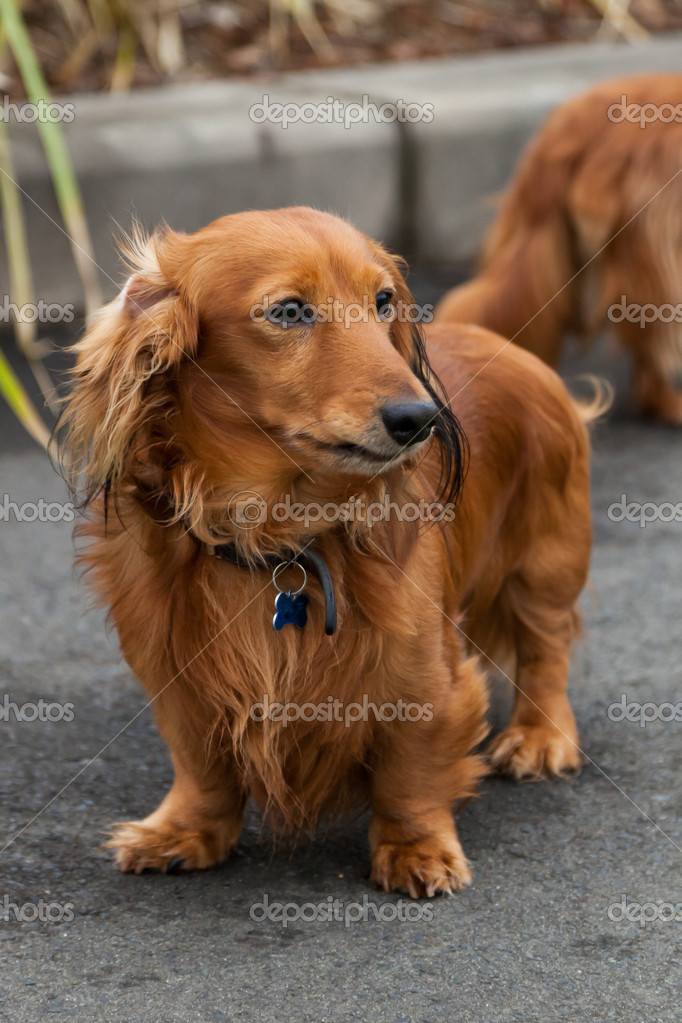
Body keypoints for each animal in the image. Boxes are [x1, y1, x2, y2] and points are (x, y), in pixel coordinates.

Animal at [61, 205, 601, 896]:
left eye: (382, 301)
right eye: (290, 311)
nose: (420, 419)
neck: (278, 536)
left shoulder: (421, 673)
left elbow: (411, 771)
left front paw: (416, 849)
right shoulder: (175, 671)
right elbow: (201, 766)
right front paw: (184, 831)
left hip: (546, 564)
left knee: (546, 651)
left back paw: (539, 736)